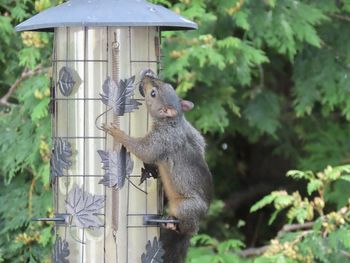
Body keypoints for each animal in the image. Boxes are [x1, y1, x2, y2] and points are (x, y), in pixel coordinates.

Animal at [102, 70, 213, 263]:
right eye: (169, 85)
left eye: (153, 94)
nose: (147, 76)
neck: (173, 121)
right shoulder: (192, 133)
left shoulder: (162, 140)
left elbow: (144, 151)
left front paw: (118, 133)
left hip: (187, 208)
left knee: (187, 227)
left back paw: (173, 225)